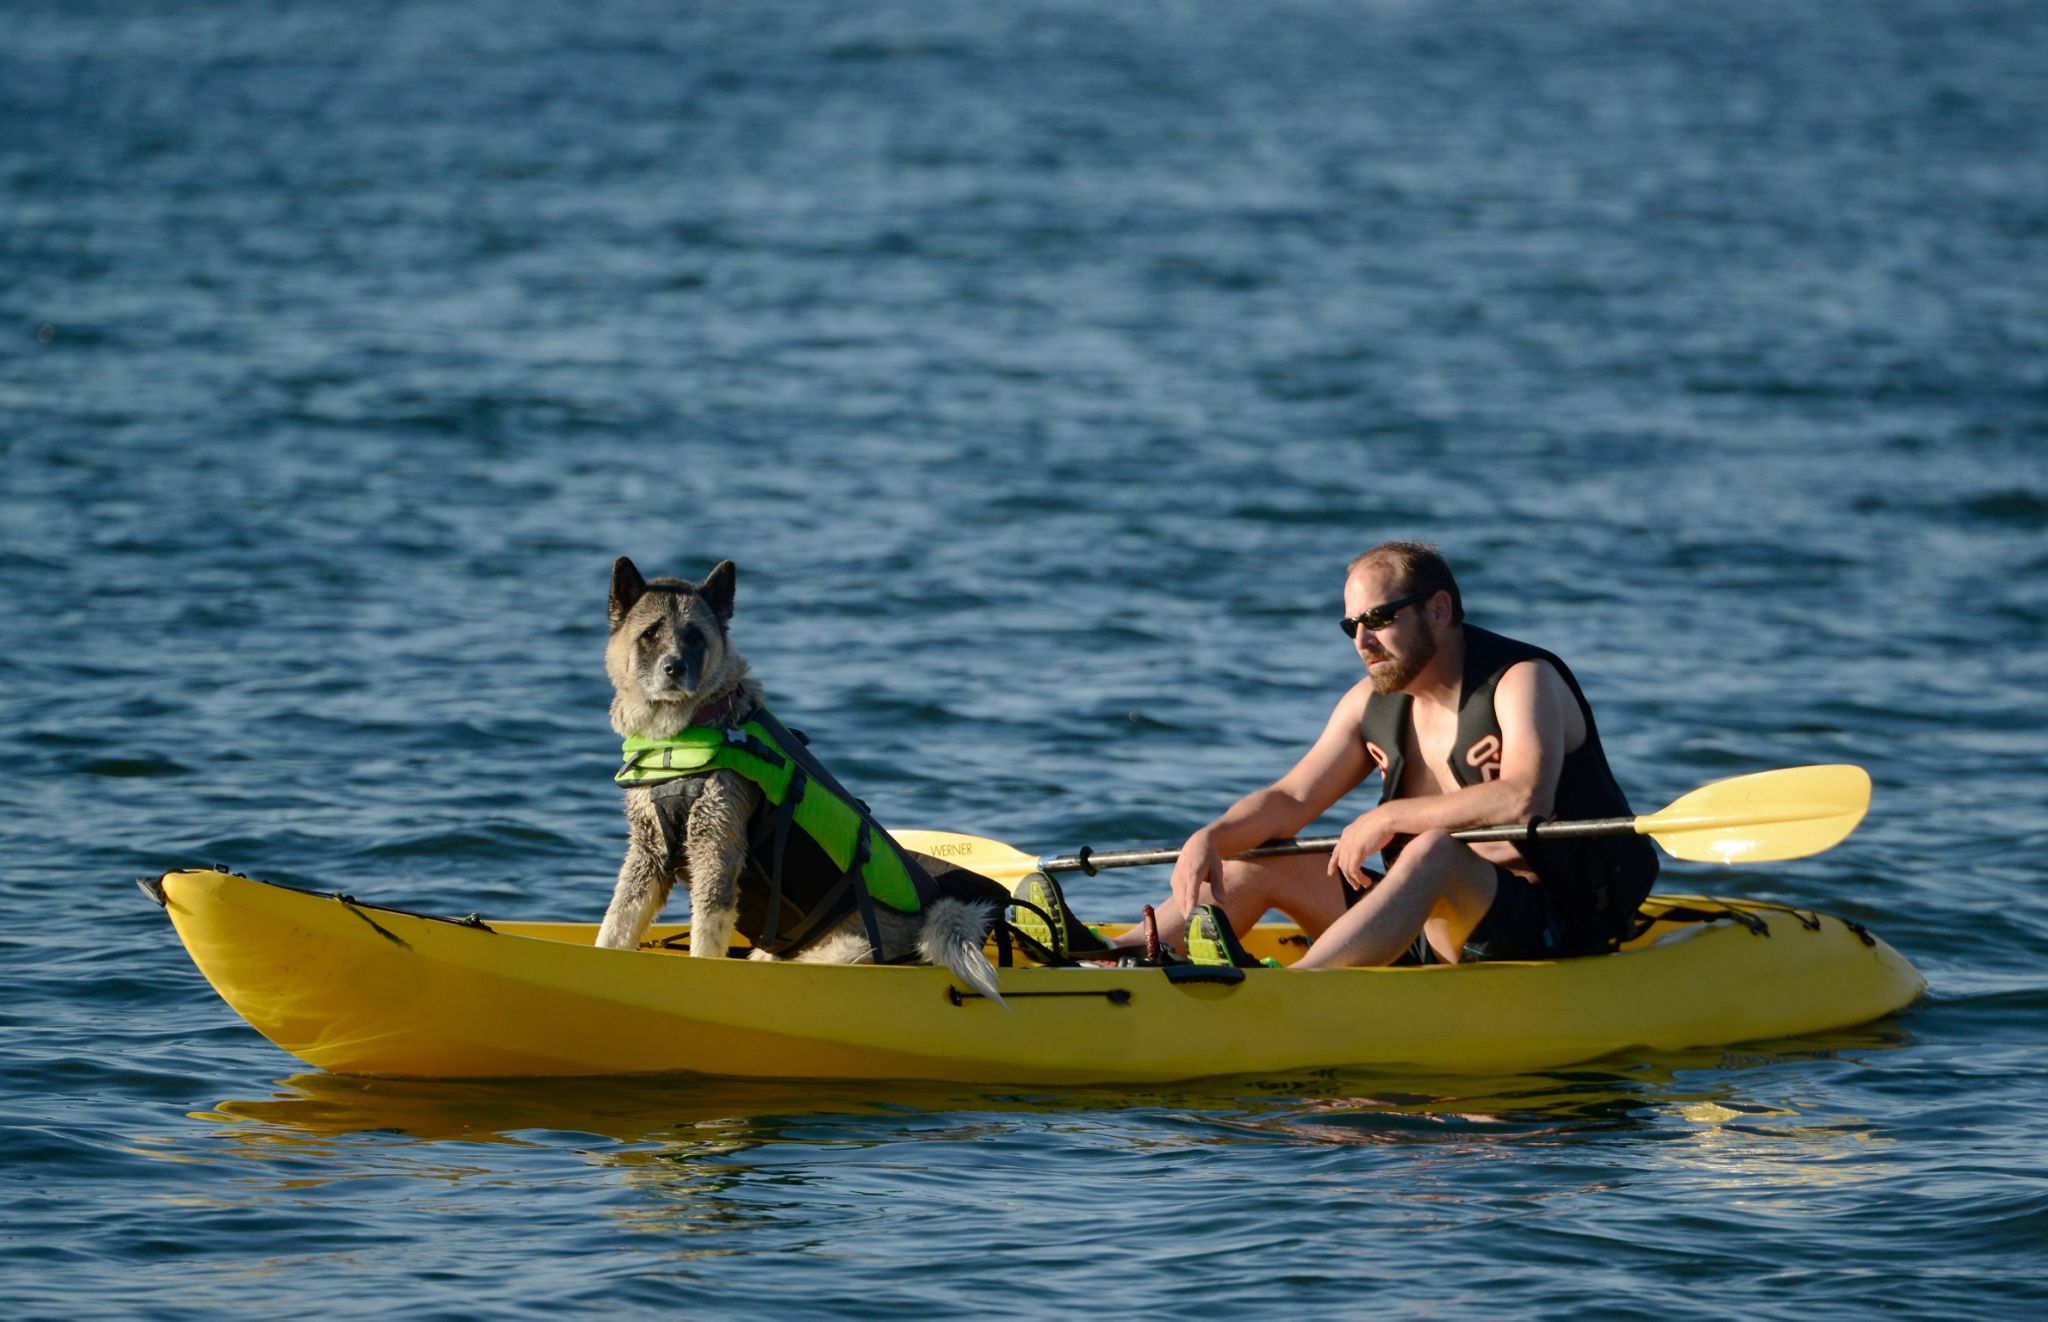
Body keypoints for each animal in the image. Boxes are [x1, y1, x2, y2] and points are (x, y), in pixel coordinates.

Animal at [593, 556, 1007, 1006]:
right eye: (650, 633)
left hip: (838, 953)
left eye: (694, 636)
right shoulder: (648, 854)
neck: (687, 733)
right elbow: (616, 923)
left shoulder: (716, 850)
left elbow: (704, 937)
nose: (675, 668)